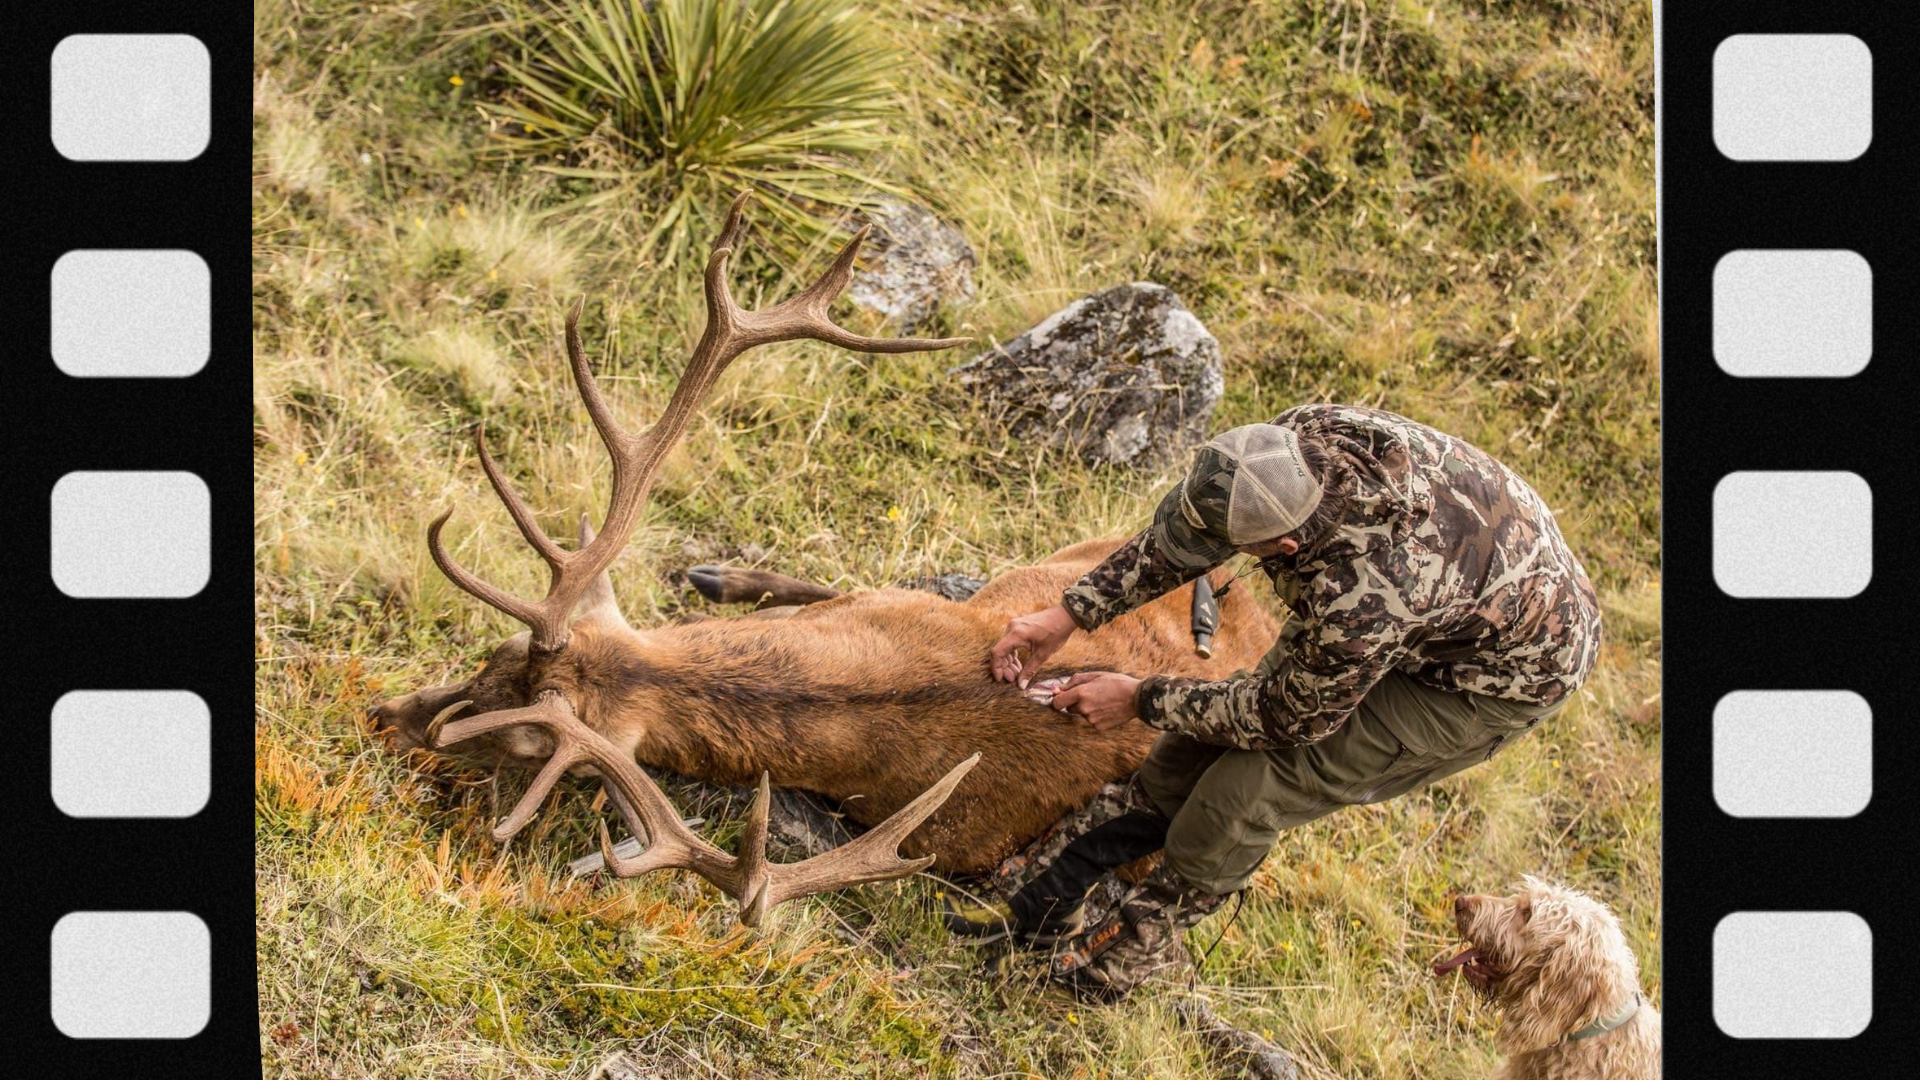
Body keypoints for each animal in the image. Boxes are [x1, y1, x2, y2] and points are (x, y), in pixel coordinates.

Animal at [373, 194, 1278, 926]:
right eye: (491, 653)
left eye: (524, 746)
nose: (387, 714)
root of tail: (1263, 613)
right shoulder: (896, 600)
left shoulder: (959, 842)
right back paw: (721, 574)